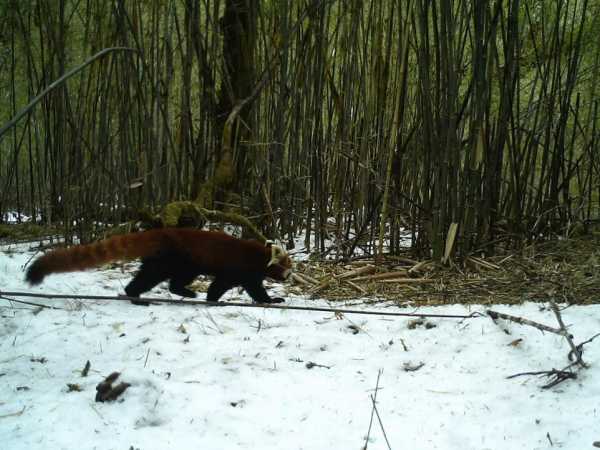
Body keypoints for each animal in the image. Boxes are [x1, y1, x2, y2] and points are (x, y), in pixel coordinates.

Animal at [25, 229, 292, 306]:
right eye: (287, 267)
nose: (290, 276)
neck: (260, 255)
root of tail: (161, 232)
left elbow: (223, 285)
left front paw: (212, 299)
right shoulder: (241, 269)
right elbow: (248, 287)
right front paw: (271, 300)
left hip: (170, 261)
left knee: (157, 279)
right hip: (174, 260)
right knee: (157, 278)